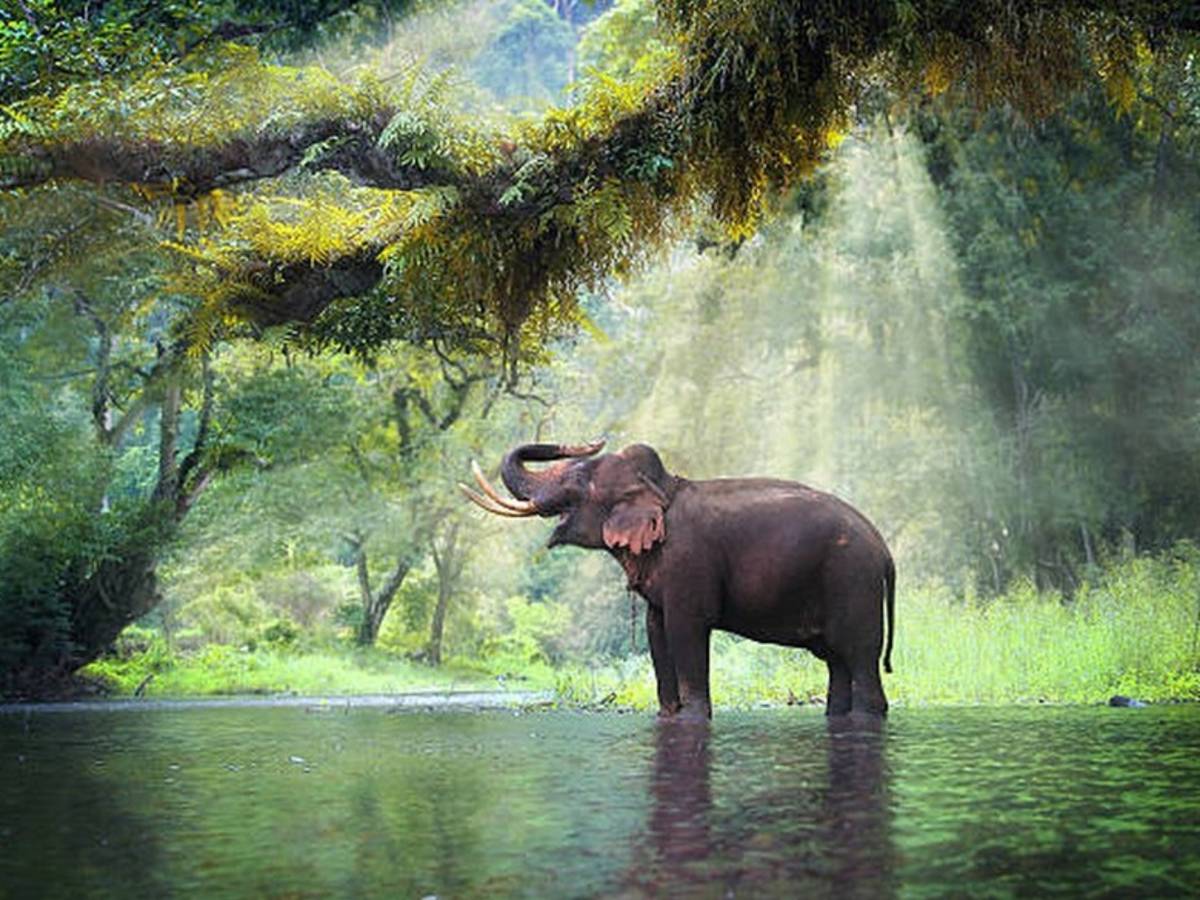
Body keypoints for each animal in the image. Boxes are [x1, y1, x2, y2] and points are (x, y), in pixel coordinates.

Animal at [461, 440, 895, 720]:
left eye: (579, 480)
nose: (589, 441)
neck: (662, 487)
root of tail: (885, 552)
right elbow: (656, 631)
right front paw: (668, 715)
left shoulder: (690, 563)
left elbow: (687, 628)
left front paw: (693, 718)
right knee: (837, 663)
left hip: (853, 582)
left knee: (859, 658)